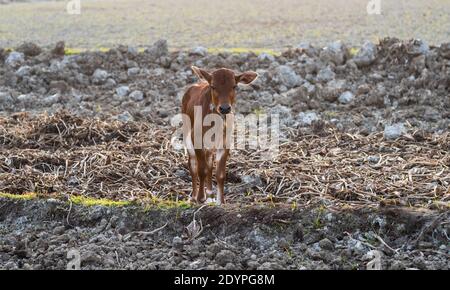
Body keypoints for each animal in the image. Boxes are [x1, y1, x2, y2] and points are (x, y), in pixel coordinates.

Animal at [180, 65, 256, 204]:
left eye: (234, 86)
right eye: (213, 86)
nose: (225, 108)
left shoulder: (225, 142)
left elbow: (220, 174)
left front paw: (221, 201)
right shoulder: (196, 138)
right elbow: (201, 170)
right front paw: (200, 197)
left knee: (209, 161)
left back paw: (210, 193)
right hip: (187, 134)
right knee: (193, 164)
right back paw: (194, 196)